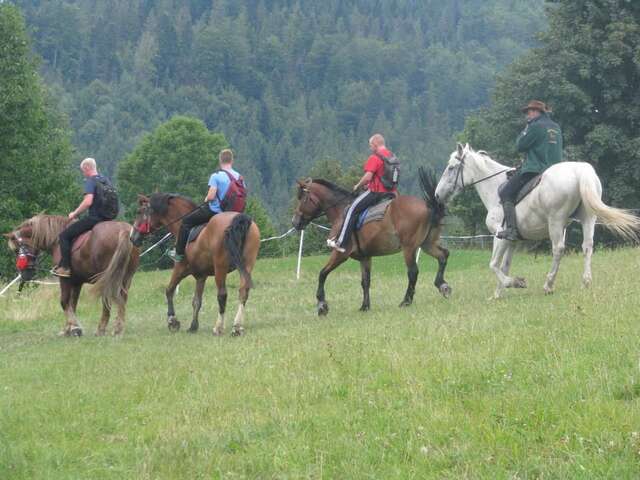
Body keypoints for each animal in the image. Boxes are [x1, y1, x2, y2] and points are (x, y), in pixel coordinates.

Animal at [4, 216, 138, 336]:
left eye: (16, 250)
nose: (25, 273)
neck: (56, 241)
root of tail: (123, 230)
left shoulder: (65, 279)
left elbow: (64, 302)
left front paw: (74, 327)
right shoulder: (76, 282)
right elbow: (72, 304)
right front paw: (68, 329)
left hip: (107, 278)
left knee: (107, 301)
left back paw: (102, 329)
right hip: (125, 278)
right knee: (122, 299)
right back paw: (117, 328)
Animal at [130, 193, 260, 336]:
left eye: (139, 212)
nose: (133, 238)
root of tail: (238, 218)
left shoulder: (180, 269)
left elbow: (169, 290)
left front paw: (172, 321)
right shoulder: (201, 276)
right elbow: (196, 301)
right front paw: (193, 326)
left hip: (220, 267)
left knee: (222, 294)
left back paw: (218, 327)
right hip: (246, 266)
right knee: (243, 292)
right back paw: (237, 326)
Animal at [292, 170, 450, 316]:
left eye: (302, 199)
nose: (295, 222)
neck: (341, 213)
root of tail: (428, 206)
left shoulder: (340, 254)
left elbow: (322, 274)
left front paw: (321, 304)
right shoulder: (365, 257)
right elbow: (365, 281)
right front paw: (365, 306)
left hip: (409, 248)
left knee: (413, 272)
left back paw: (406, 300)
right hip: (427, 244)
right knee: (443, 255)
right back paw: (442, 285)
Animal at [432, 144, 636, 298]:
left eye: (451, 168)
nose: (437, 195)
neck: (494, 188)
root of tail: (580, 171)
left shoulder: (499, 236)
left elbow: (493, 265)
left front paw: (515, 282)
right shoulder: (512, 240)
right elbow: (504, 266)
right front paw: (498, 294)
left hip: (556, 221)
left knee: (558, 249)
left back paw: (549, 285)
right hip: (588, 218)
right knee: (587, 246)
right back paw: (585, 282)